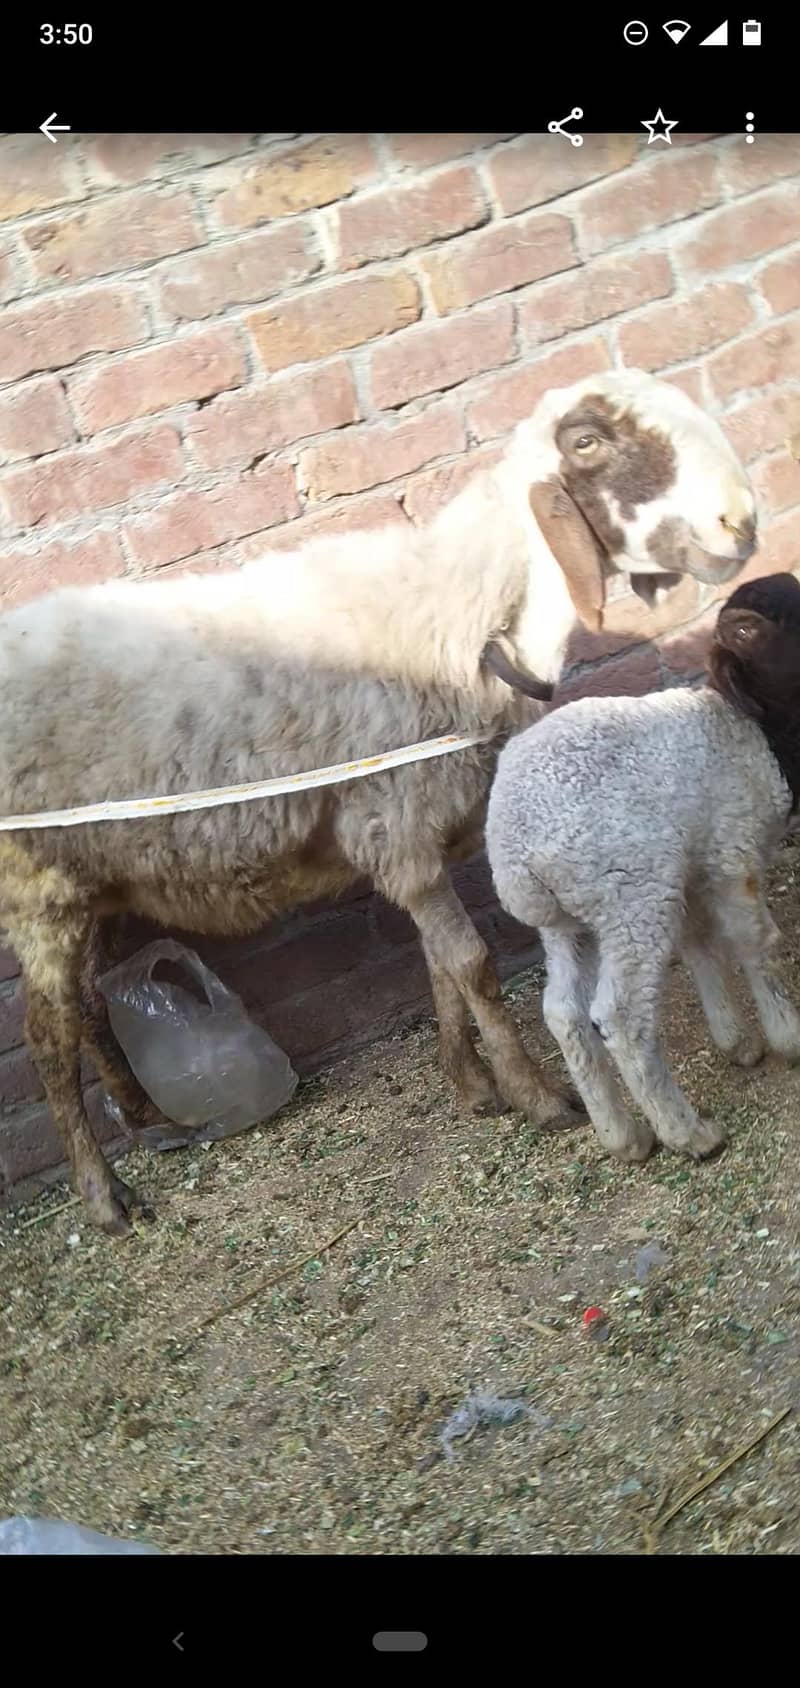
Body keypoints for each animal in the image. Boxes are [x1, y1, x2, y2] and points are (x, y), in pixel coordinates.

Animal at [0, 368, 758, 1235]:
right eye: (589, 442)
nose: (740, 520)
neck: (461, 617)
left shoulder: (409, 839)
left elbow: (438, 968)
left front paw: (472, 1086)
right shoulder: (395, 824)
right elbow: (472, 965)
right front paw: (536, 1097)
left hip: (91, 881)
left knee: (89, 1011)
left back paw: (145, 1117)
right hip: (36, 888)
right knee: (47, 1037)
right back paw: (104, 1196)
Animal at [486, 572, 800, 1166]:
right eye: (746, 630)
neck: (748, 726)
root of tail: (513, 850)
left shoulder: (694, 869)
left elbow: (701, 945)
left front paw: (736, 1040)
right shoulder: (732, 851)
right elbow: (756, 943)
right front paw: (787, 1034)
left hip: (571, 921)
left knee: (563, 1012)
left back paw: (622, 1136)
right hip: (630, 896)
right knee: (623, 1019)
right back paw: (688, 1133)